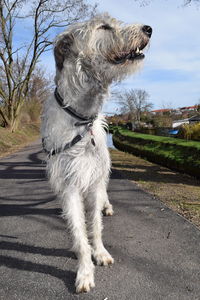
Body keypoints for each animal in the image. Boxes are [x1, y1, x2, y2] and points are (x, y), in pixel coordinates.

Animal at [41, 13, 152, 292]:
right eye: (104, 27)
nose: (148, 28)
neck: (81, 119)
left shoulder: (93, 180)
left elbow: (95, 225)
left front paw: (99, 252)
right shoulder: (69, 183)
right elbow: (79, 231)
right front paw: (84, 271)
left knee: (103, 195)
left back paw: (106, 206)